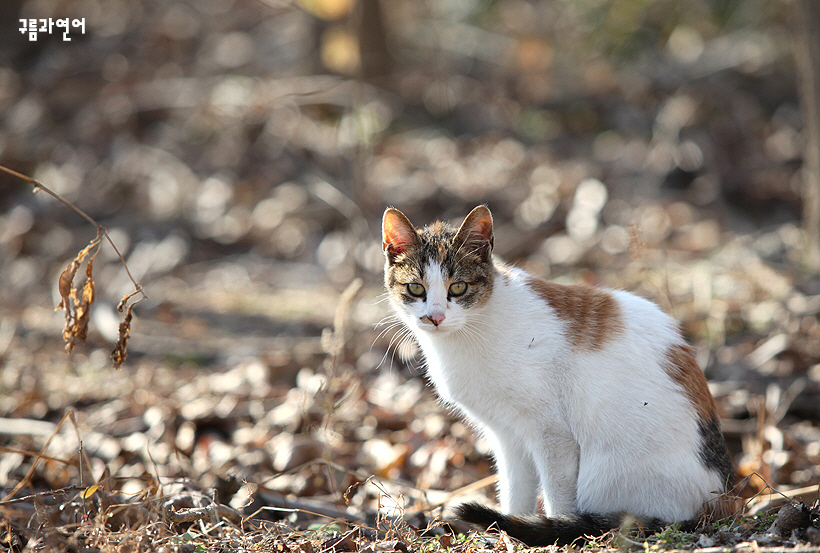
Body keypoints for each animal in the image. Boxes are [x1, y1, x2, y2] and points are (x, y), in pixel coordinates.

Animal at [382, 205, 736, 544]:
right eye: (415, 288)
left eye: (458, 287)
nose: (435, 317)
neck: (472, 329)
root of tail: (722, 501)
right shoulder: (507, 435)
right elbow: (515, 488)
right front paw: (507, 533)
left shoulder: (552, 432)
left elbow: (558, 493)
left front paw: (553, 528)